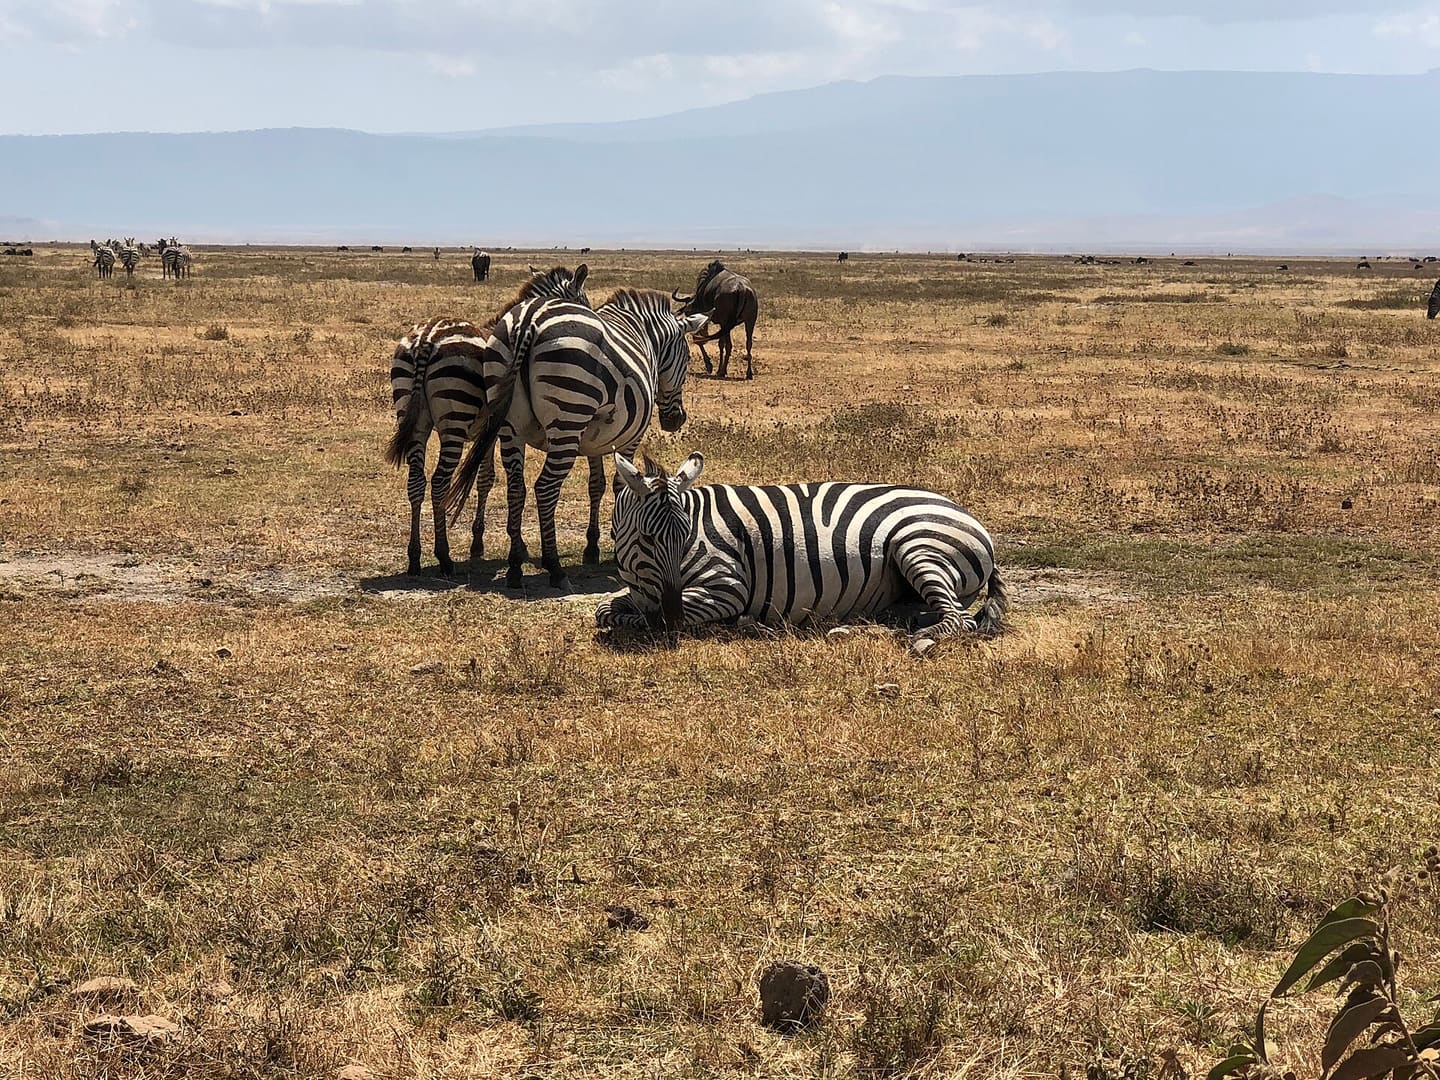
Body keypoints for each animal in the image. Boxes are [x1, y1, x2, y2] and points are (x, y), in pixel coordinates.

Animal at [386, 265, 592, 576]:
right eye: (583, 301)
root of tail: (427, 338)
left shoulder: (487, 432)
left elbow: (483, 479)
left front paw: (478, 542)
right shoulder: (497, 430)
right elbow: (490, 479)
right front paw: (492, 543)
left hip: (413, 419)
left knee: (416, 483)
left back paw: (414, 558)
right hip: (454, 420)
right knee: (439, 482)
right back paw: (444, 557)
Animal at [441, 289, 710, 588]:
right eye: (687, 359)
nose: (676, 420)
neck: (642, 334)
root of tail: (529, 319)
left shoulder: (596, 438)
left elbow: (596, 485)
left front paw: (592, 548)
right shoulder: (630, 438)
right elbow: (620, 485)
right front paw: (616, 542)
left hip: (512, 425)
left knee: (516, 489)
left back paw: (514, 567)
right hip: (569, 417)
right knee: (545, 488)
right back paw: (555, 568)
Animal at [594, 452, 1008, 652]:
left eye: (686, 537)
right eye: (648, 538)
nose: (674, 615)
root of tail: (970, 517)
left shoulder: (727, 587)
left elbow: (643, 618)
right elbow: (605, 609)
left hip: (919, 545)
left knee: (958, 620)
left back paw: (921, 639)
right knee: (913, 613)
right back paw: (852, 627)